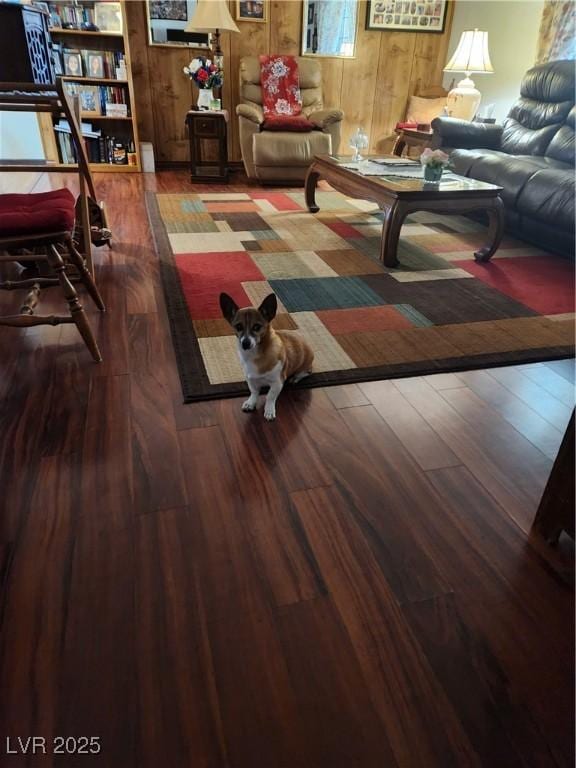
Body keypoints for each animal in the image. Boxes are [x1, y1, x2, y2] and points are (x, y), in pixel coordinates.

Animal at [219, 292, 312, 420]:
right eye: (238, 327)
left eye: (257, 327)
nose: (245, 343)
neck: (254, 355)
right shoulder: (250, 380)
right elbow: (254, 392)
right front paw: (251, 403)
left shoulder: (277, 382)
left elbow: (270, 396)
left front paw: (269, 410)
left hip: (305, 365)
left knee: (306, 372)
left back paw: (295, 378)